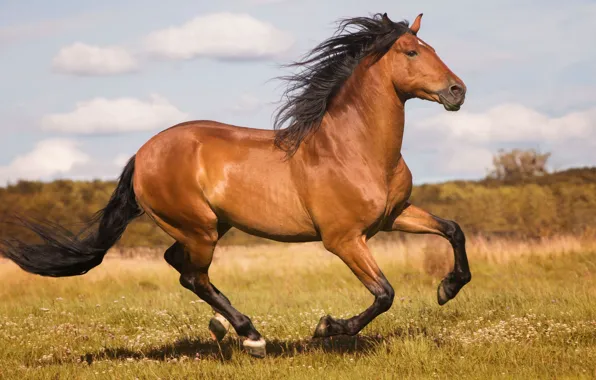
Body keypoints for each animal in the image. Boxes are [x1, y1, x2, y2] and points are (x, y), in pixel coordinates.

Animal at [3, 11, 470, 356]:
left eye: (432, 49)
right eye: (411, 52)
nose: (457, 91)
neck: (354, 149)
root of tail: (142, 154)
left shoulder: (393, 217)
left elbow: (452, 230)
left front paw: (447, 289)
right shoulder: (343, 239)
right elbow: (384, 293)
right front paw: (327, 328)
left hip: (210, 226)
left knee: (180, 266)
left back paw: (229, 328)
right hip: (200, 228)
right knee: (192, 276)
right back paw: (250, 335)